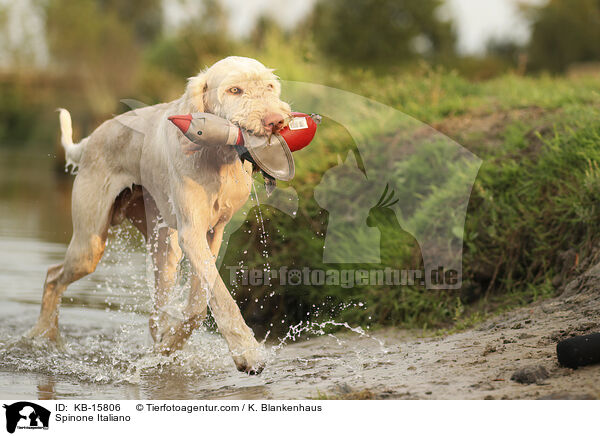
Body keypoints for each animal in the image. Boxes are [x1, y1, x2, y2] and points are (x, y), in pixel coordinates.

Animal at [29, 56, 292, 372]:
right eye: (235, 90)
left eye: (270, 87)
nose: (276, 120)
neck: (218, 157)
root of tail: (91, 138)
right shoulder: (192, 234)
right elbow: (221, 297)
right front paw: (248, 353)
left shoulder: (213, 232)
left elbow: (198, 305)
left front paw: (171, 345)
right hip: (89, 245)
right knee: (53, 277)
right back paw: (43, 337)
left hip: (164, 244)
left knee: (156, 308)